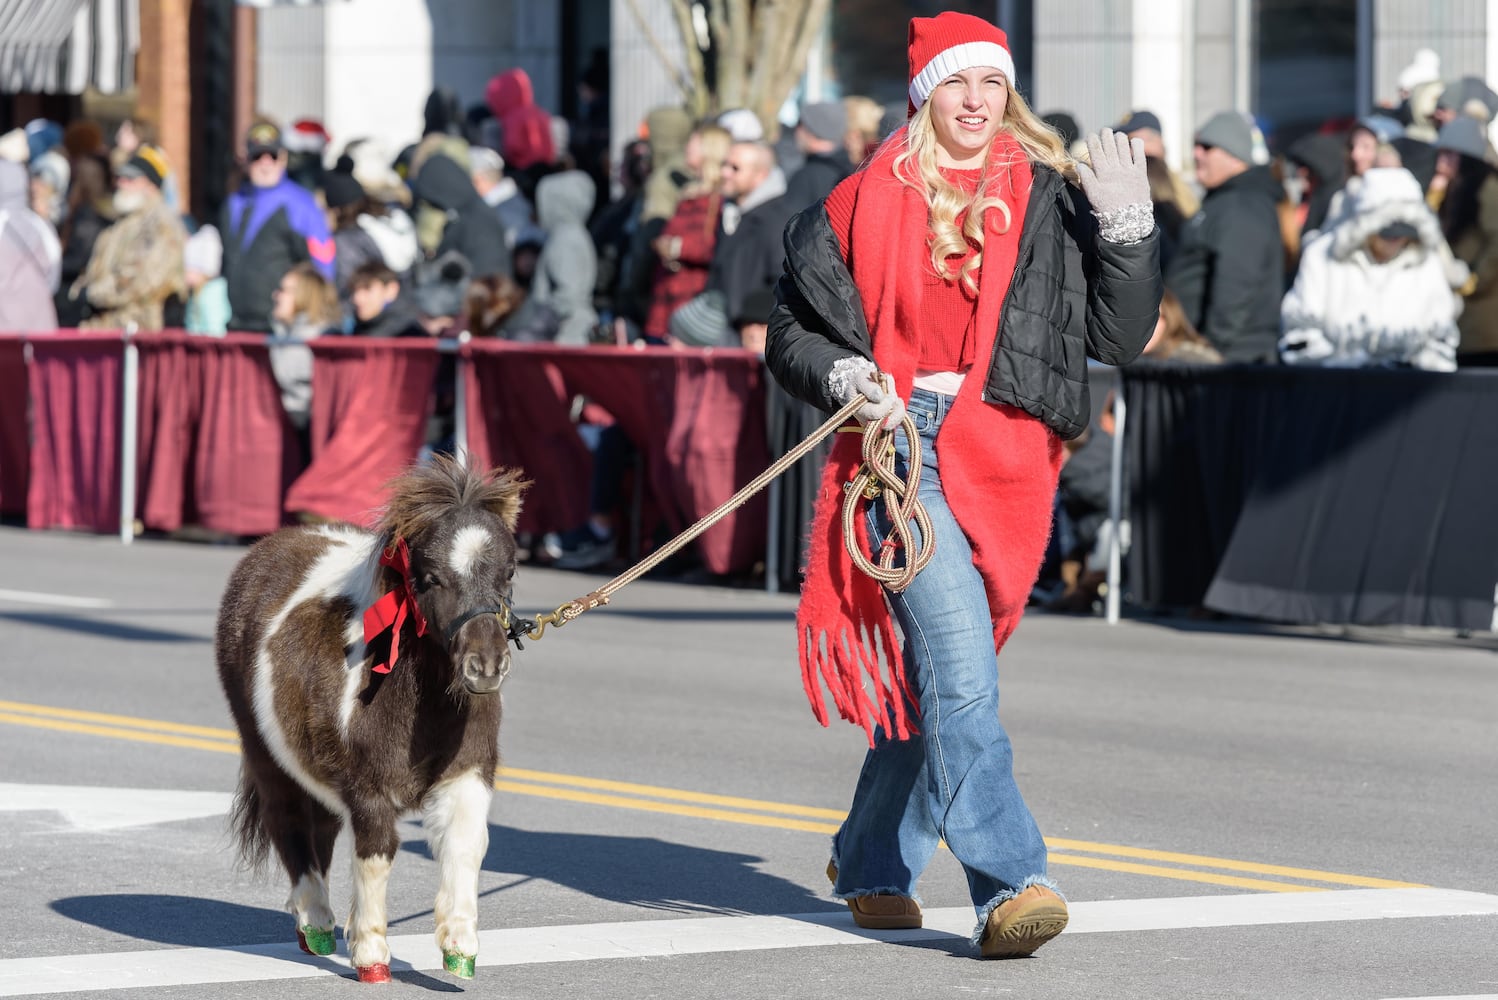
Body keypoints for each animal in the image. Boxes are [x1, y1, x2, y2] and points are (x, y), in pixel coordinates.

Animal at [217, 458, 530, 982]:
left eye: (508, 573)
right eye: (430, 577)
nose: (485, 667)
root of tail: (272, 545)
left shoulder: (468, 775)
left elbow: (466, 846)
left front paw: (460, 950)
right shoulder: (368, 789)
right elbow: (376, 855)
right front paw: (371, 957)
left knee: (320, 830)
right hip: (265, 754)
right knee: (289, 825)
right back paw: (317, 924)